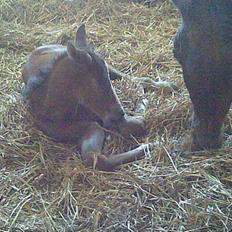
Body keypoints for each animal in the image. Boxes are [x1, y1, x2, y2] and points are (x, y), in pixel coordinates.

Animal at [21, 24, 152, 170]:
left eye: (105, 77)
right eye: (94, 81)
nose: (119, 112)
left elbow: (137, 123)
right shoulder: (89, 126)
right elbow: (95, 157)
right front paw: (147, 145)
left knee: (135, 79)